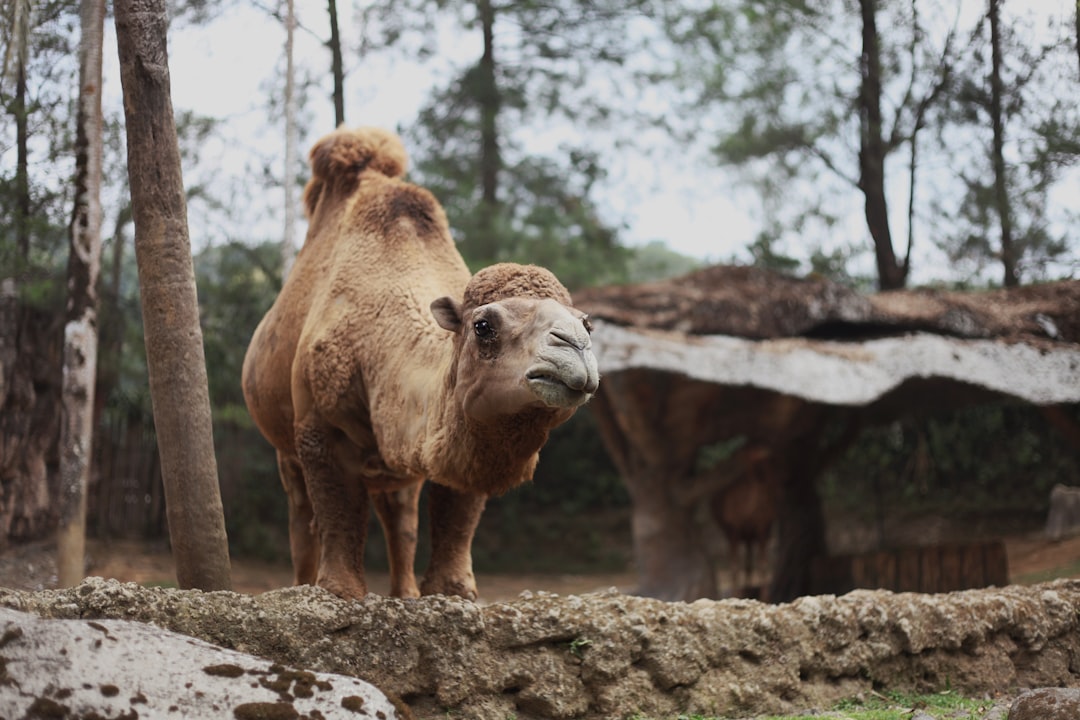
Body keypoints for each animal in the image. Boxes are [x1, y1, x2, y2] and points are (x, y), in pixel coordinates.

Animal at [240, 126, 604, 600]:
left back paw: (404, 593)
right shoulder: (319, 426)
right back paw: (300, 583)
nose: (574, 346)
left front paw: (451, 590)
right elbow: (337, 511)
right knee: (302, 517)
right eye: (483, 325)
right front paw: (337, 590)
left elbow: (456, 512)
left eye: (587, 324)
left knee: (400, 518)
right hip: (284, 444)